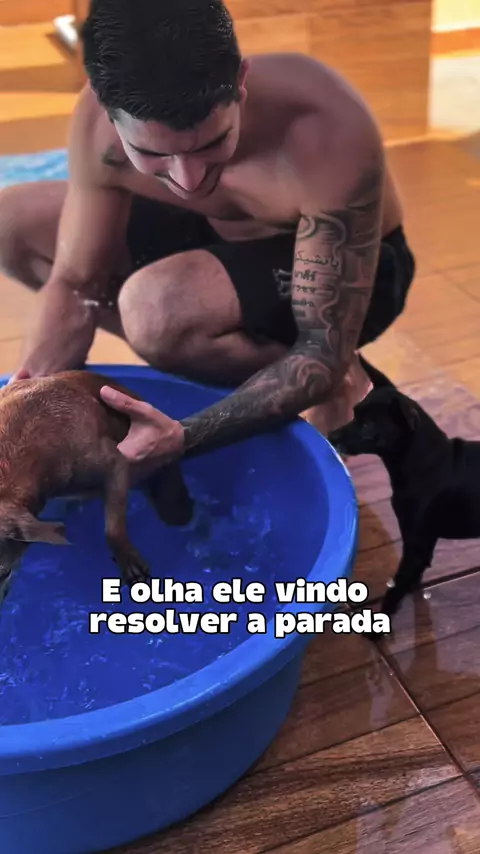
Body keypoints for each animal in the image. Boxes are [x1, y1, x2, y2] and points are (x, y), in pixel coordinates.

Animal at [329, 359, 480, 619]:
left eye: (368, 426)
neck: (426, 463)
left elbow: (395, 588)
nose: (331, 435)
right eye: (354, 413)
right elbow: (410, 577)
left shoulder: (415, 545)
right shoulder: (420, 544)